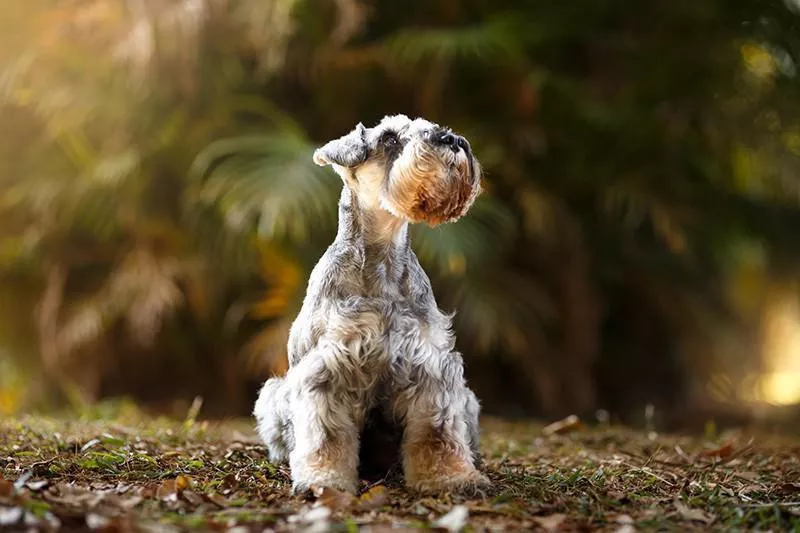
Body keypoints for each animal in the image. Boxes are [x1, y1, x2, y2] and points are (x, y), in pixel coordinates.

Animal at [253, 114, 488, 492]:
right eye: (389, 138)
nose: (451, 139)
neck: (383, 262)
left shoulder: (432, 370)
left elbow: (437, 433)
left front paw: (451, 478)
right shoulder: (327, 372)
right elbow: (326, 437)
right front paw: (325, 480)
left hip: (467, 400)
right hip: (273, 394)